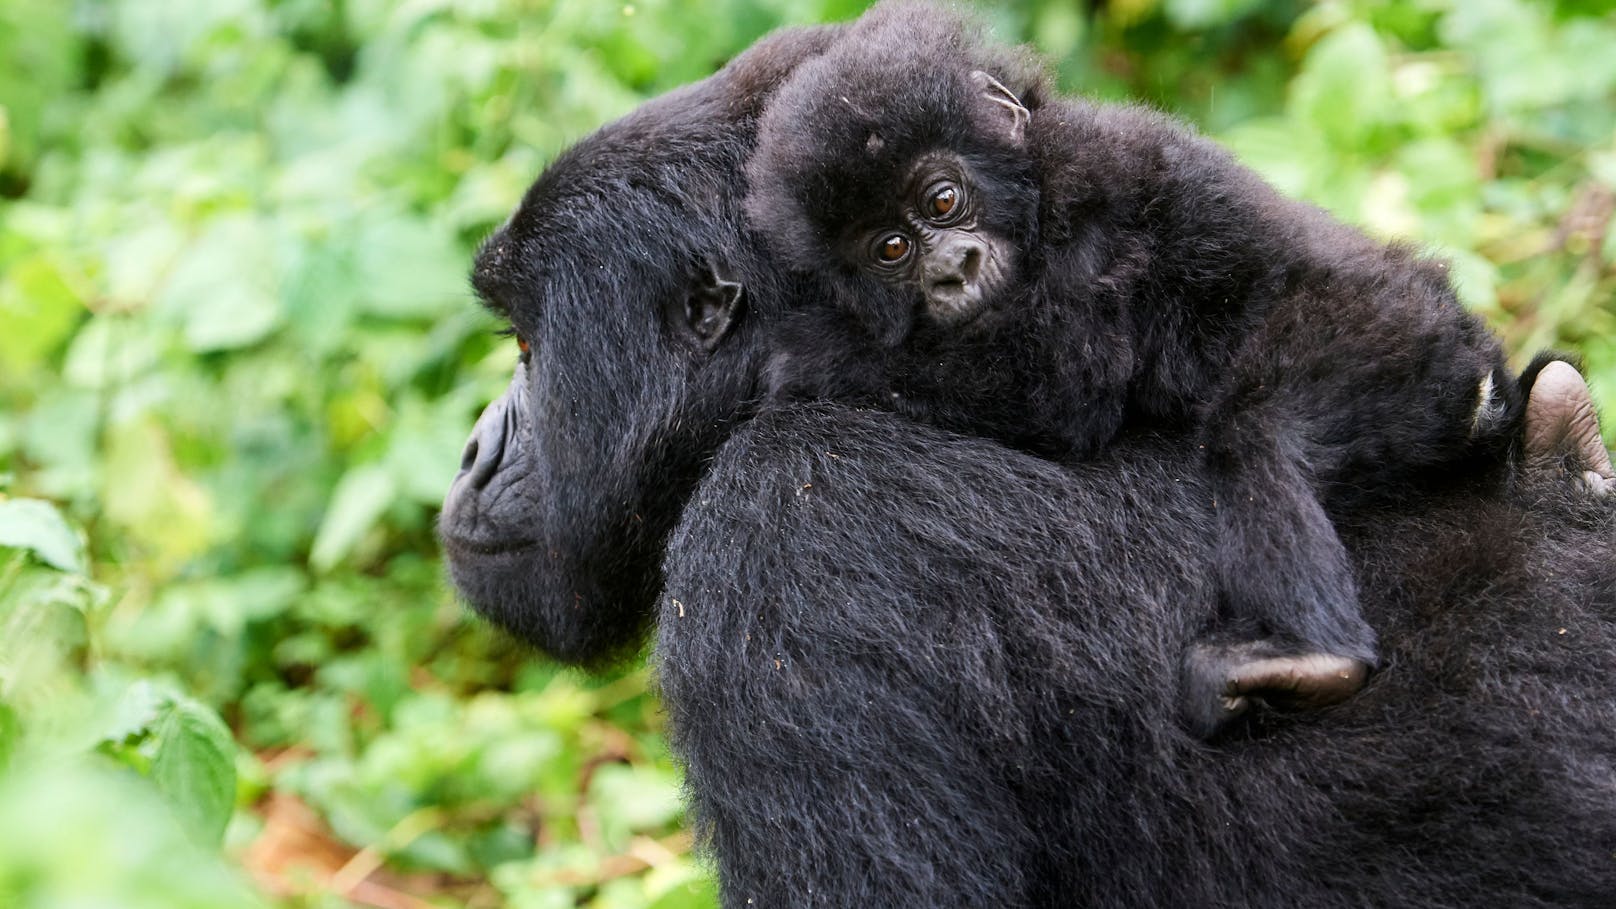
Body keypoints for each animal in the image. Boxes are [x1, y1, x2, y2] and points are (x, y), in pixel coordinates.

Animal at [743, 1, 1512, 737]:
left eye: (942, 199)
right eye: (891, 248)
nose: (952, 270)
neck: (1034, 176)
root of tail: (1484, 379)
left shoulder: (1091, 197)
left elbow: (1063, 387)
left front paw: (809, 350)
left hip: (1402, 332)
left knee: (1256, 433)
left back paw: (1312, 654)